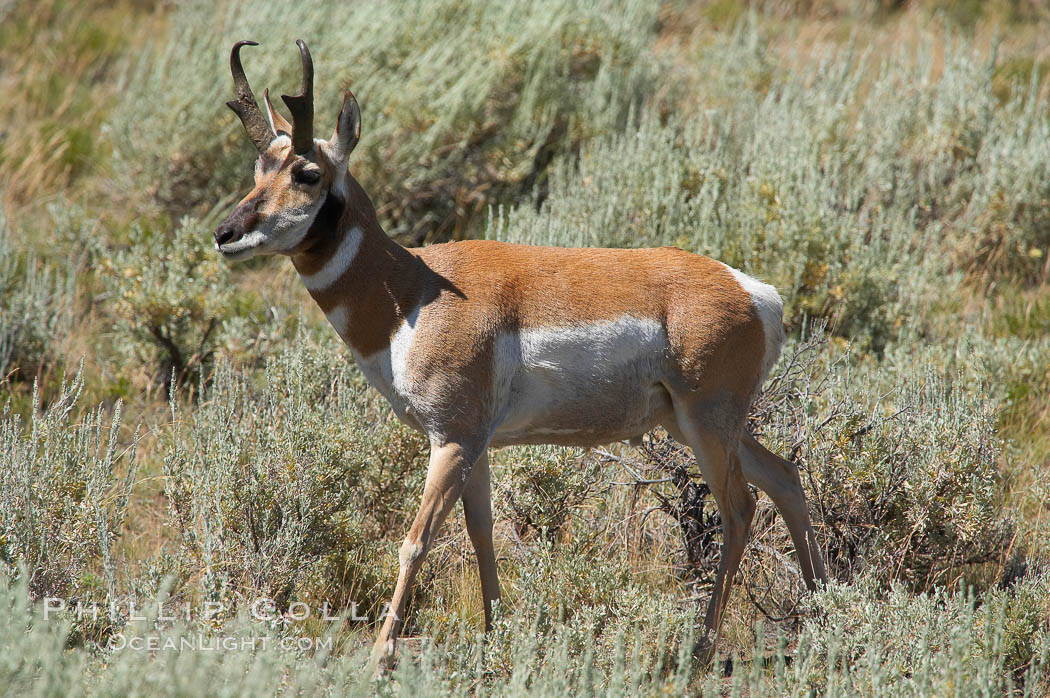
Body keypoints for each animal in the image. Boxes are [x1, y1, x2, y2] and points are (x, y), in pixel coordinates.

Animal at [215, 38, 827, 663]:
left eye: (308, 172)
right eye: (260, 167)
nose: (225, 234)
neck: (411, 290)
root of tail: (753, 291)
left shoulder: (452, 439)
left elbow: (416, 540)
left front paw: (381, 654)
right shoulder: (474, 445)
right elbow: (481, 532)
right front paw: (495, 631)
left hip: (706, 424)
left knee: (740, 509)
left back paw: (704, 646)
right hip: (696, 424)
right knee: (785, 479)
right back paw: (827, 614)